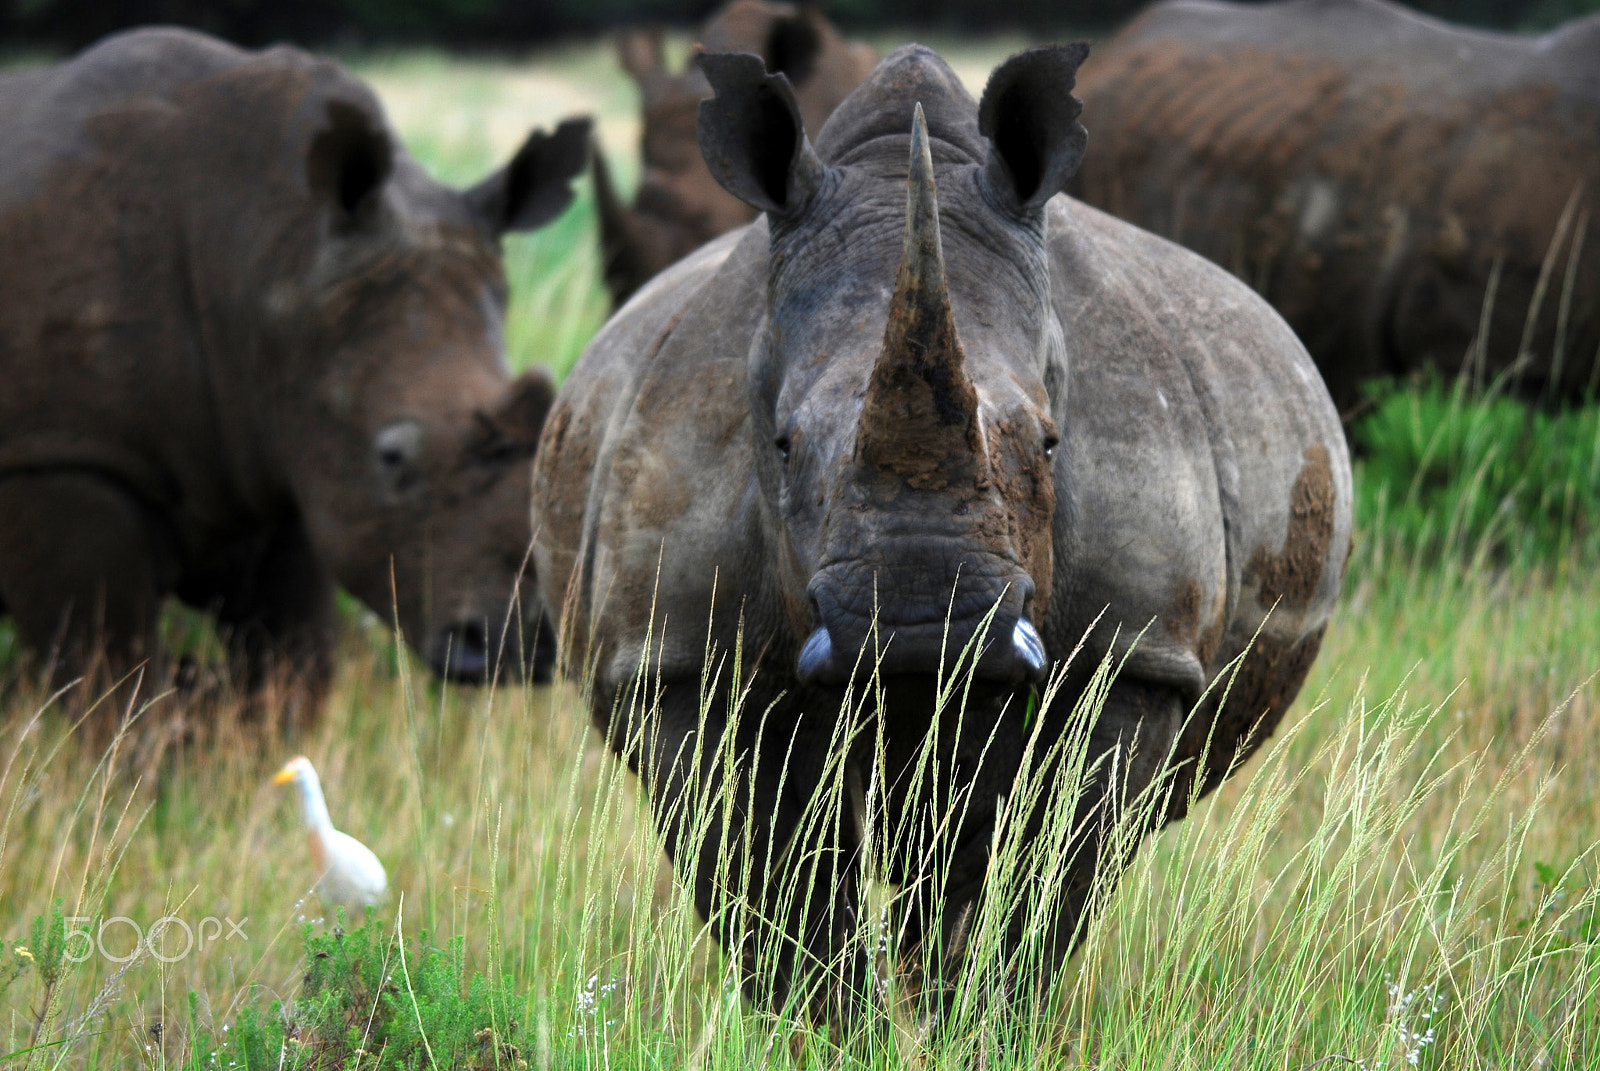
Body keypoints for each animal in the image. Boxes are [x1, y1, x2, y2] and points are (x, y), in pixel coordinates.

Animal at [0, 28, 589, 709]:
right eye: (391, 457)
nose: (525, 642)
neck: (270, 258)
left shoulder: (288, 453)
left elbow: (291, 673)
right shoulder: (60, 455)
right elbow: (111, 686)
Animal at [532, 44, 1351, 1020]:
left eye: (1051, 441)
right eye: (781, 442)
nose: (923, 632)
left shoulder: (1133, 654)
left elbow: (1042, 893)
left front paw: (980, 1029)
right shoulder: (678, 657)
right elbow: (777, 895)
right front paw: (827, 1032)